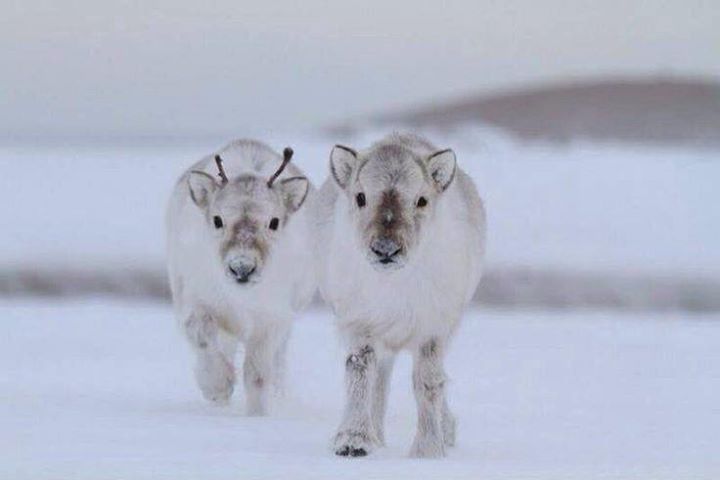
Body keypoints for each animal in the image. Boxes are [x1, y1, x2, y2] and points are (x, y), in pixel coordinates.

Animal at [169, 137, 318, 414]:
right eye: (217, 220)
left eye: (274, 222)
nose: (242, 268)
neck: (241, 298)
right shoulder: (196, 301)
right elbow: (203, 338)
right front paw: (218, 388)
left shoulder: (273, 319)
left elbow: (257, 374)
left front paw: (257, 413)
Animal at [314, 131, 484, 458]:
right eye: (360, 197)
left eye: (421, 200)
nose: (385, 249)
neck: (393, 285)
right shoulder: (360, 323)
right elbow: (359, 372)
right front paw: (353, 441)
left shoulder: (433, 328)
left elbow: (428, 382)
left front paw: (428, 450)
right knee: (380, 379)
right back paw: (377, 436)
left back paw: (447, 430)